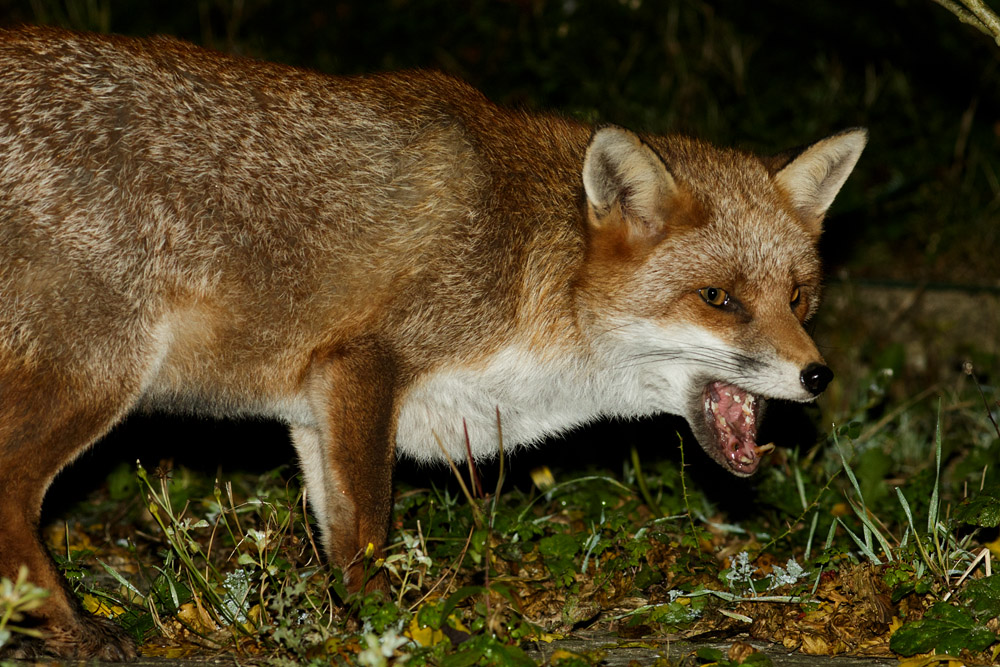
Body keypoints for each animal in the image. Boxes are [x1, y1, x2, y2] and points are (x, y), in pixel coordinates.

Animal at [0, 24, 865, 660]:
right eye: (718, 298)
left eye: (797, 297)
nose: (816, 376)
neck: (526, 268)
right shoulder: (366, 360)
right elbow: (370, 529)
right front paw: (394, 629)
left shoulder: (313, 407)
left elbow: (338, 535)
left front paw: (359, 619)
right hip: (100, 373)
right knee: (11, 492)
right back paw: (71, 630)